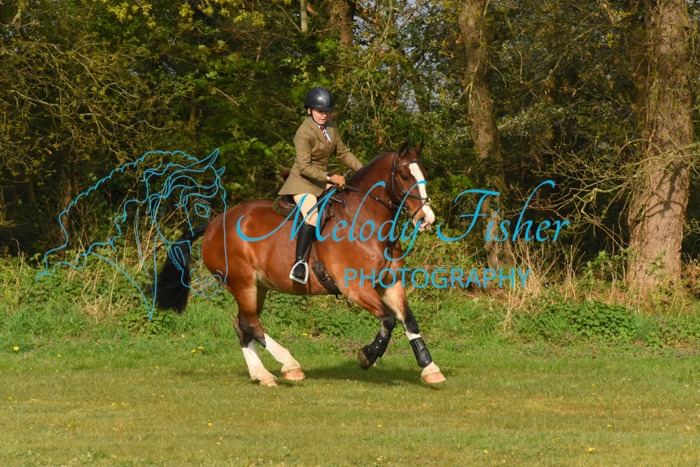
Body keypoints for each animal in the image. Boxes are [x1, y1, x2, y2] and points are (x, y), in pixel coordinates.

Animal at [153, 143, 447, 386]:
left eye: (424, 174)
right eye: (405, 176)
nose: (426, 218)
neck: (366, 222)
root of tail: (213, 224)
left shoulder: (390, 283)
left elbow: (409, 321)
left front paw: (430, 368)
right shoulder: (356, 289)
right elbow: (388, 319)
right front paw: (367, 356)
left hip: (258, 288)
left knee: (242, 325)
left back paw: (262, 375)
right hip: (242, 283)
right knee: (252, 325)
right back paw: (289, 365)